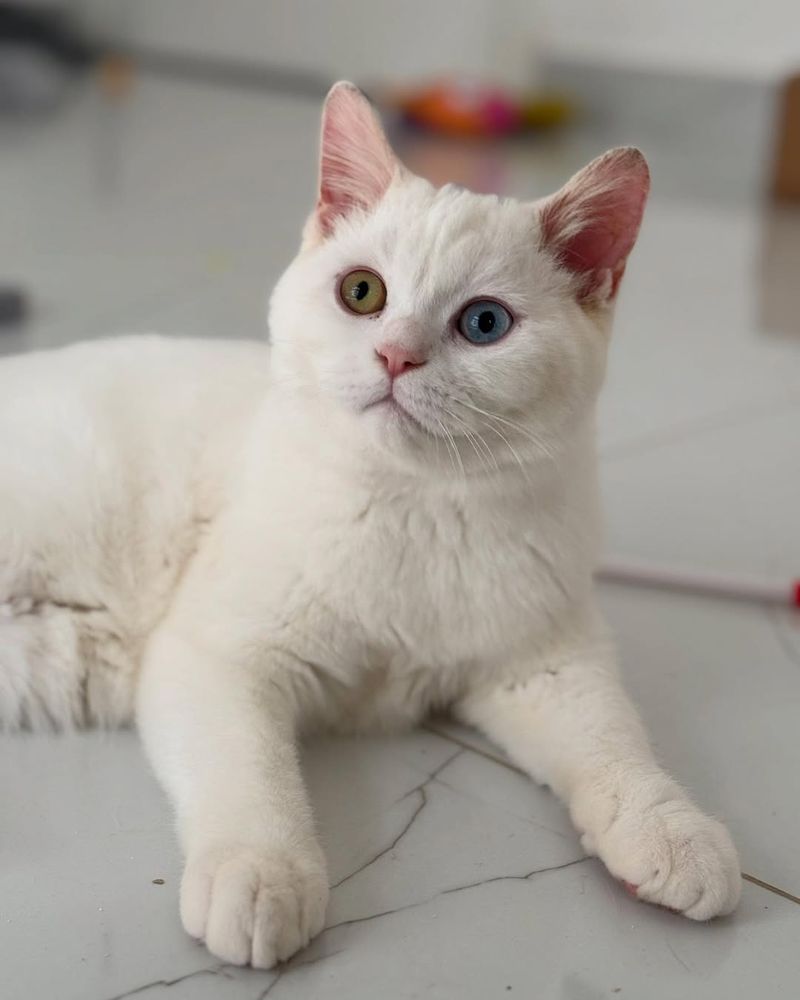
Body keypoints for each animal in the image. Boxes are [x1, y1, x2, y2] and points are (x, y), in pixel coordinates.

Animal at [0, 82, 740, 964]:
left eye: (484, 324)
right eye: (362, 293)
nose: (395, 356)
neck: (414, 508)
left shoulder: (548, 665)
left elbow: (614, 742)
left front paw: (670, 830)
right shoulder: (216, 657)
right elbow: (250, 777)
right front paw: (263, 875)